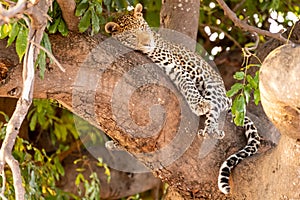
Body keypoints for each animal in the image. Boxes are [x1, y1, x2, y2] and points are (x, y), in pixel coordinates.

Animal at [104, 2, 262, 194]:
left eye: (142, 28)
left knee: (215, 108)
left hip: (213, 85)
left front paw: (198, 104)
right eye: (132, 36)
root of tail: (229, 99)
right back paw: (115, 144)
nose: (148, 43)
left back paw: (211, 129)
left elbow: (187, 84)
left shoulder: (174, 64)